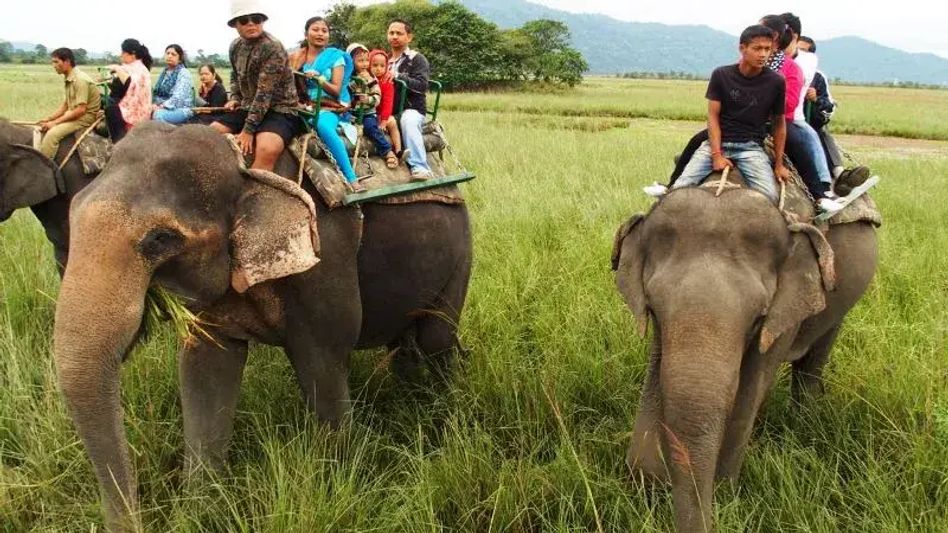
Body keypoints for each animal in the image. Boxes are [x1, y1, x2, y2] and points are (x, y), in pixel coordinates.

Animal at [52, 122, 471, 530]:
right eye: (71, 211)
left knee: (436, 338)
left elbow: (323, 363)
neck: (245, 169)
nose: (136, 521)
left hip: (461, 248)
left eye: (160, 239)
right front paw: (198, 514)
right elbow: (205, 371)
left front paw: (332, 489)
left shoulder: (325, 255)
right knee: (405, 341)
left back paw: (439, 416)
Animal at [612, 183, 877, 532]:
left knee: (815, 357)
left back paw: (803, 421)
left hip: (840, 300)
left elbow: (748, 390)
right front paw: (646, 481)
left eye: (758, 317)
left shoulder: (786, 308)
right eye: (653, 308)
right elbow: (660, 377)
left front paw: (724, 493)